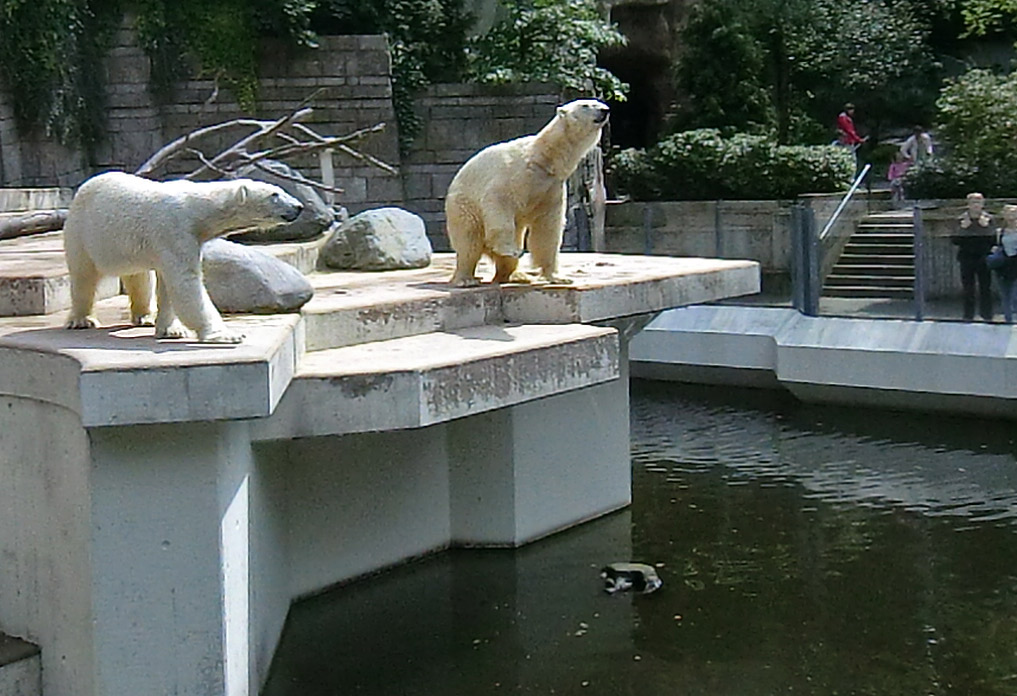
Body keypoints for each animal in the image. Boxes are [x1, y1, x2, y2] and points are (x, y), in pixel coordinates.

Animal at [62, 172, 301, 343]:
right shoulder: (175, 230)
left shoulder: (182, 240)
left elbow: (168, 285)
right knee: (84, 276)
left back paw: (145, 316)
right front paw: (227, 335)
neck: (198, 209)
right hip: (83, 232)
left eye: (280, 190)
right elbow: (186, 282)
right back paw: (82, 320)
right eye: (274, 194)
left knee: (139, 276)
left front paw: (171, 330)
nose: (298, 207)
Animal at [447, 97, 606, 284]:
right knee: (469, 242)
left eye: (597, 102)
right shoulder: (514, 174)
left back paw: (517, 276)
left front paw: (558, 277)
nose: (605, 110)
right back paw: (466, 278)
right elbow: (498, 203)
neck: (543, 158)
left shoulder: (551, 187)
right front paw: (510, 249)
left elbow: (548, 229)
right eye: (585, 105)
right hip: (463, 207)